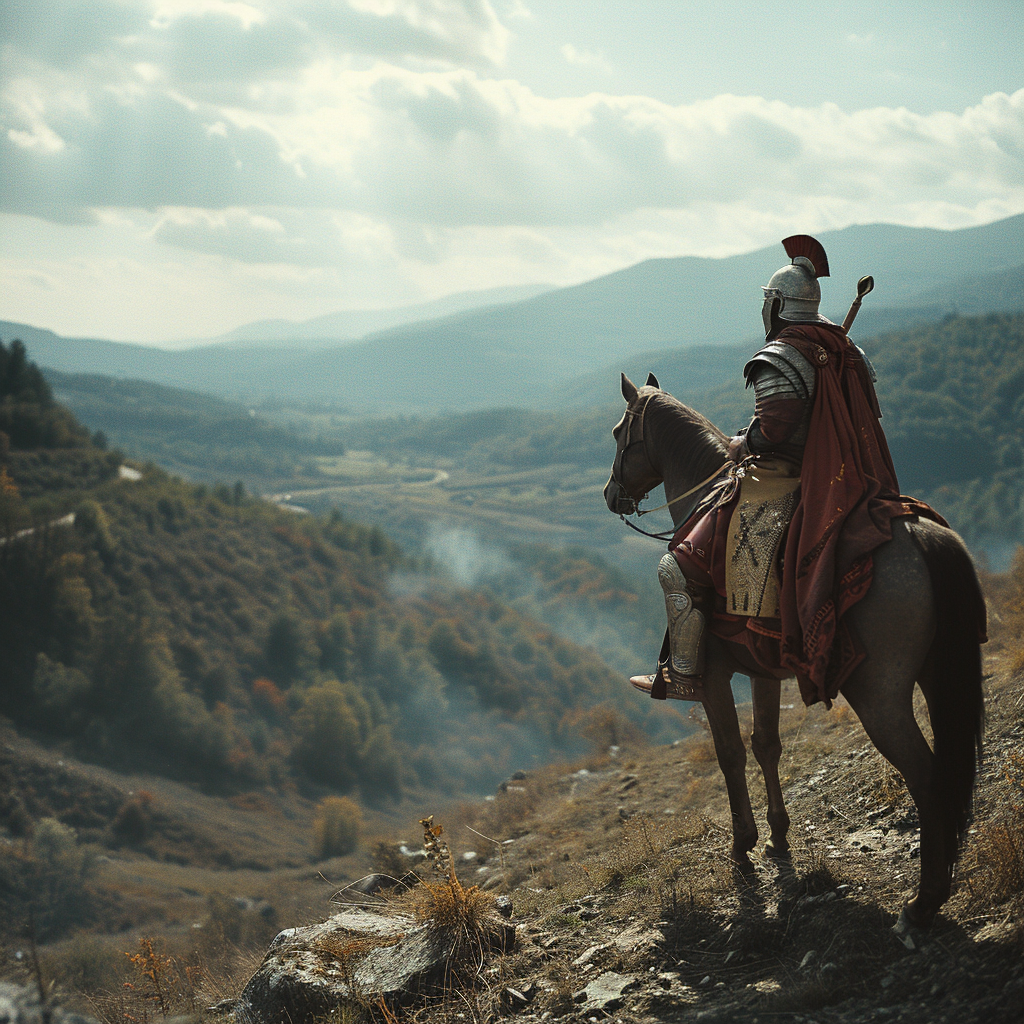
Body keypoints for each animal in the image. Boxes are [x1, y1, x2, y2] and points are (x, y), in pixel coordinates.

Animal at [598, 372, 983, 933]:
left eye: (617, 432)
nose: (611, 494)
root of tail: (923, 537)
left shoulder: (715, 676)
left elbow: (730, 753)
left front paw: (742, 846)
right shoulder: (762, 670)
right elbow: (766, 745)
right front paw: (778, 837)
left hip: (881, 696)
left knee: (927, 777)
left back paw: (922, 902)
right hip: (939, 676)